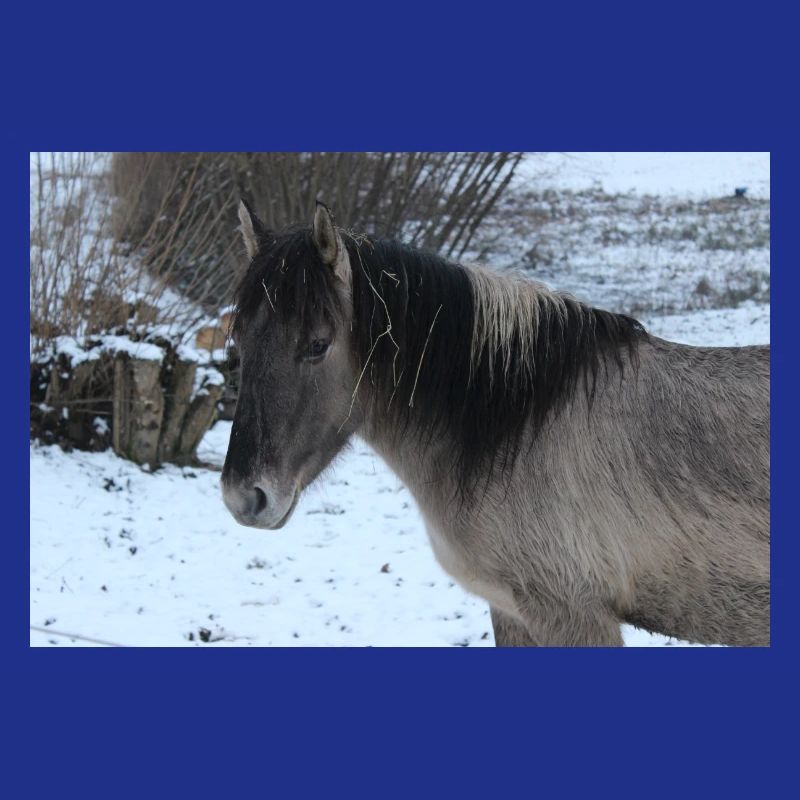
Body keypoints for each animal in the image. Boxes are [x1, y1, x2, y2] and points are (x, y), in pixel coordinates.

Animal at [221, 200, 770, 647]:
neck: (521, 429)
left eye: (318, 344)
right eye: (240, 340)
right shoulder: (511, 611)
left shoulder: (574, 615)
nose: (244, 497)